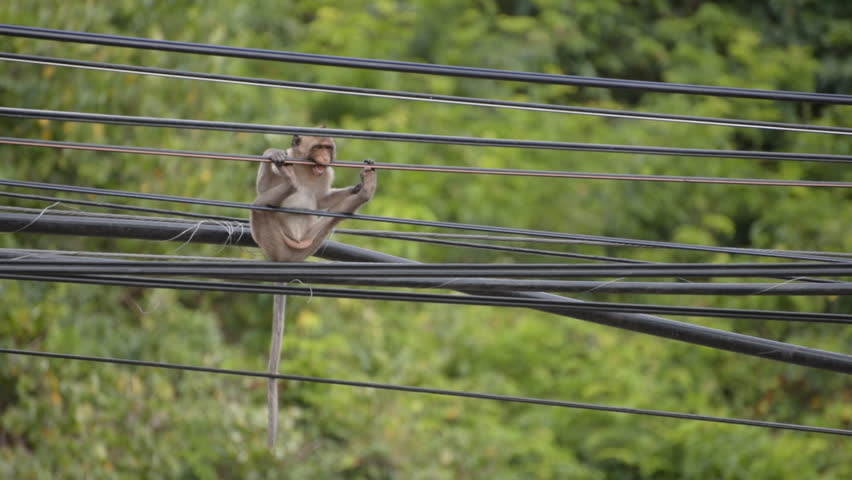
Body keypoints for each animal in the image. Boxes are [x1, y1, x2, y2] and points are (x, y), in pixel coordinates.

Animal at [249, 133, 377, 449]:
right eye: (317, 147)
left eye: (328, 148)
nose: (325, 158)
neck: (306, 170)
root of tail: (282, 259)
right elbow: (262, 184)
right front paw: (275, 155)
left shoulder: (326, 176)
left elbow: (323, 200)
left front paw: (358, 185)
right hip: (269, 236)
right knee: (259, 206)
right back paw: (290, 184)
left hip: (308, 244)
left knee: (333, 216)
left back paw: (364, 192)